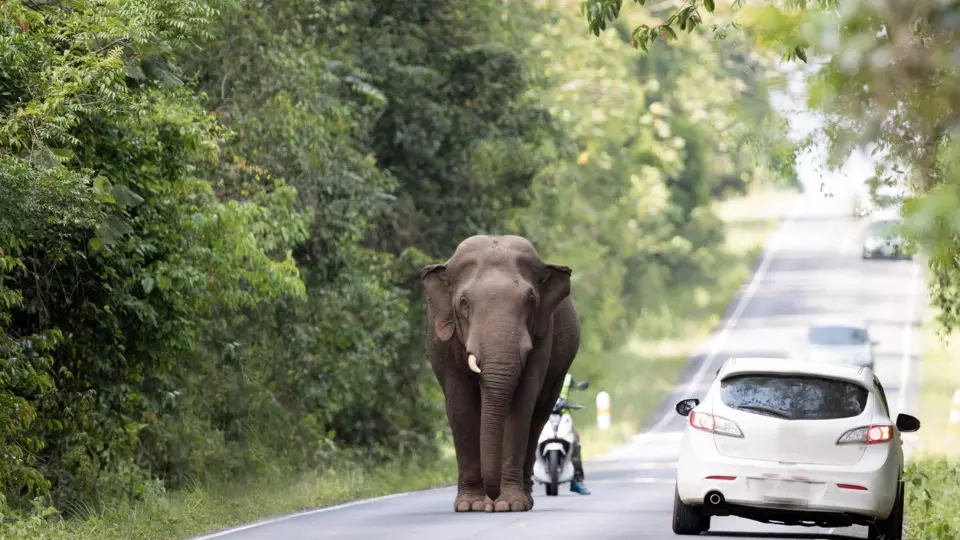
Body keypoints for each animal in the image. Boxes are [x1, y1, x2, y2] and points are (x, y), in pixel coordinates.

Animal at [420, 234, 581, 513]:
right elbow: (460, 406)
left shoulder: (543, 334)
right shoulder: (442, 341)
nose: (492, 499)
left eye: (531, 301)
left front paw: (510, 505)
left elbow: (521, 404)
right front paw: (469, 505)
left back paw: (524, 500)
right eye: (464, 303)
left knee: (538, 417)